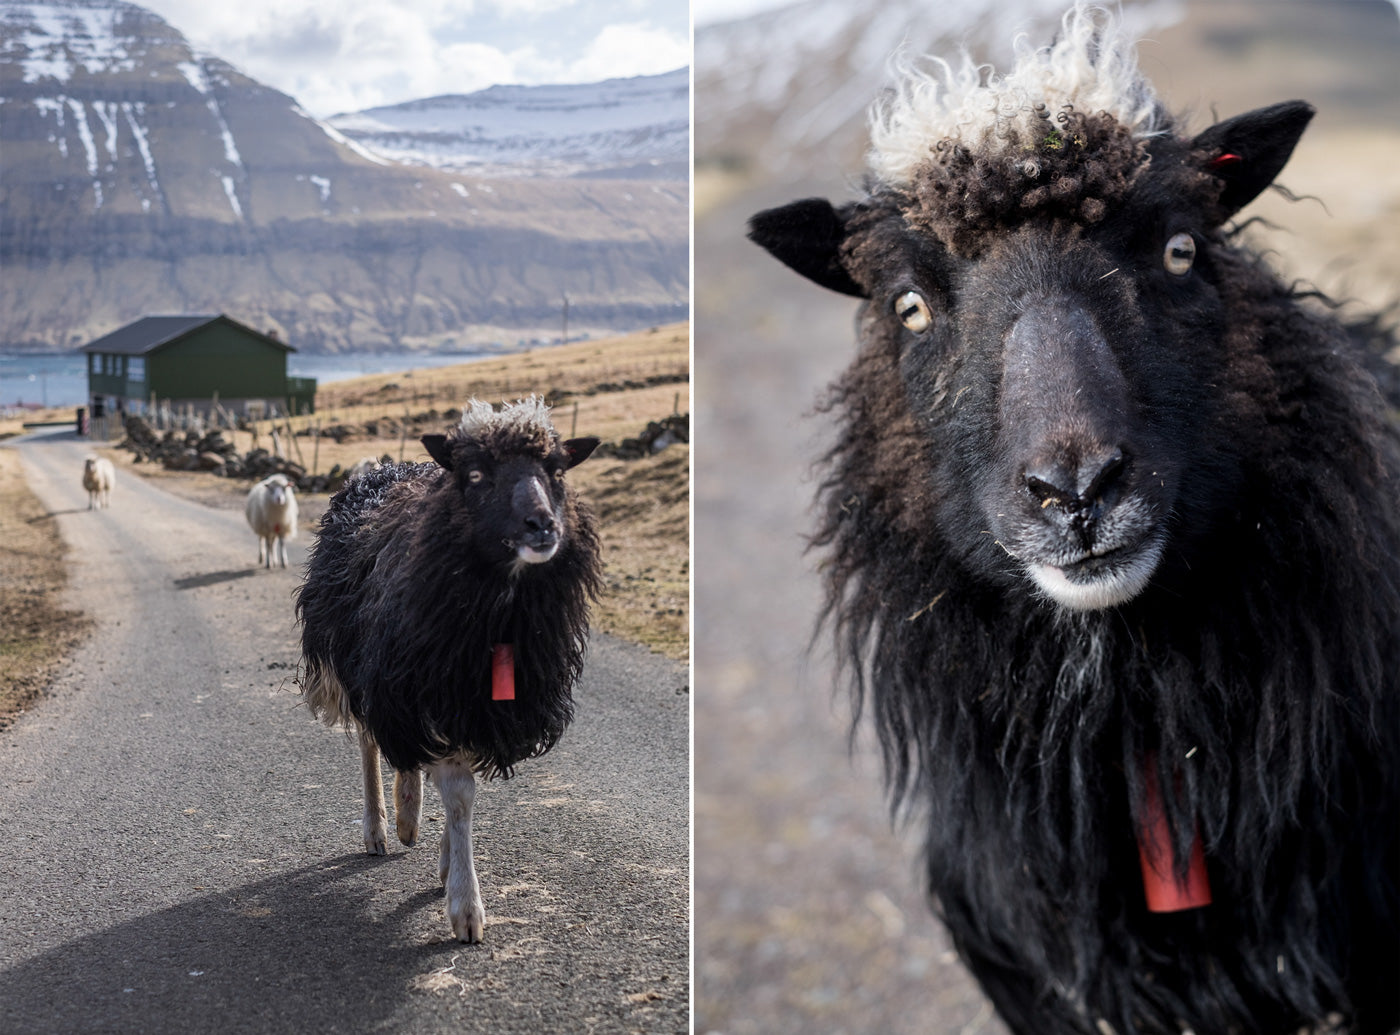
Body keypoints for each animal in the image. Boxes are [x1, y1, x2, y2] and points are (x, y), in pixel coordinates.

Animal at [295, 397, 602, 946]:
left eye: (556, 471)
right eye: (476, 474)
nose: (542, 525)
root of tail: (387, 467)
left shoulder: (479, 705)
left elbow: (460, 795)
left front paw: (446, 866)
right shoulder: (425, 686)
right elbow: (458, 795)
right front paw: (466, 905)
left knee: (405, 757)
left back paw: (409, 813)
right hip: (366, 669)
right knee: (371, 743)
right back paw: (382, 827)